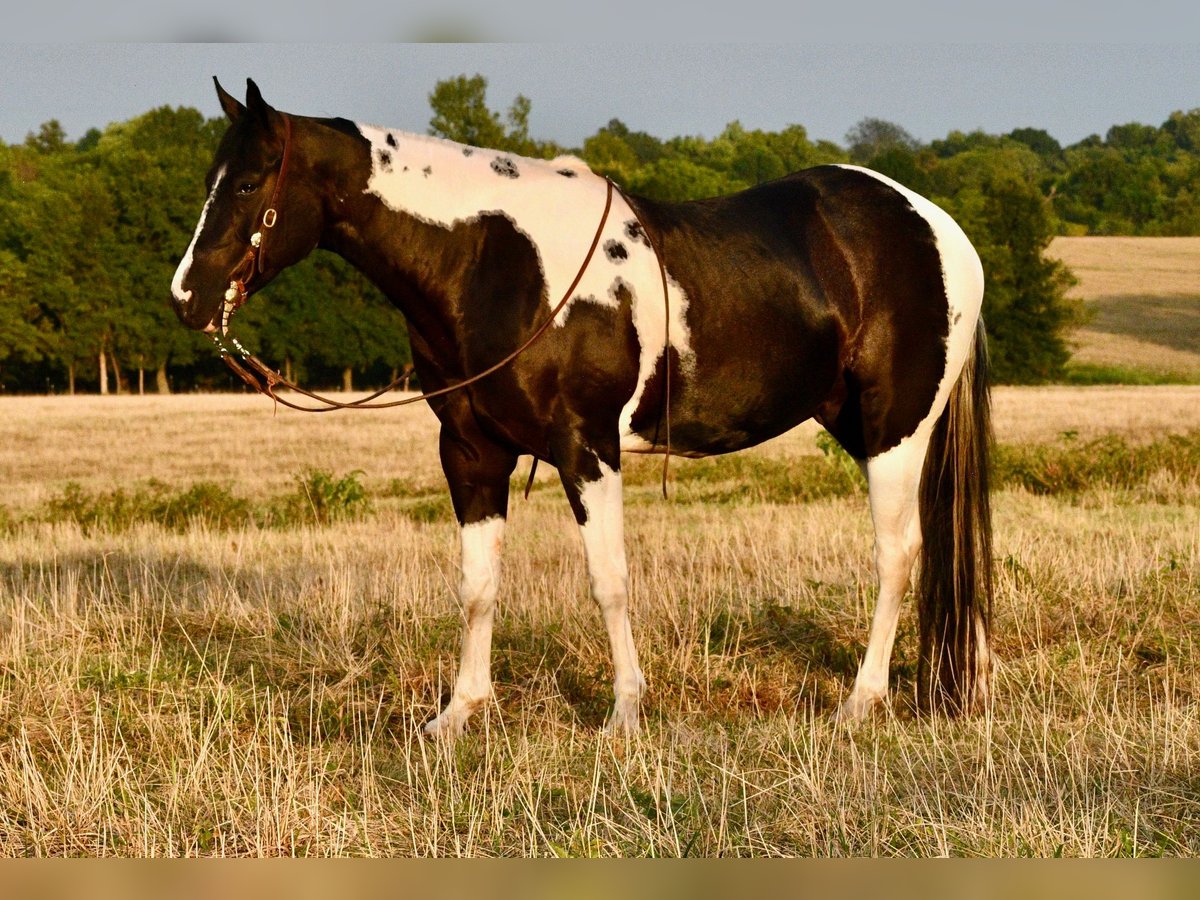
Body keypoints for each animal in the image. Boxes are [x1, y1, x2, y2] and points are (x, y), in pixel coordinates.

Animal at [170, 79, 993, 736]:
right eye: (208, 179)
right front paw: (459, 714)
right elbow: (477, 587)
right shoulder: (472, 454)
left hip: (895, 432)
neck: (496, 260)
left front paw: (626, 710)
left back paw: (862, 700)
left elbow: (608, 580)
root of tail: (934, 224)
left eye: (246, 185)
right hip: (858, 424)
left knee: (898, 556)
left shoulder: (587, 447)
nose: (187, 297)